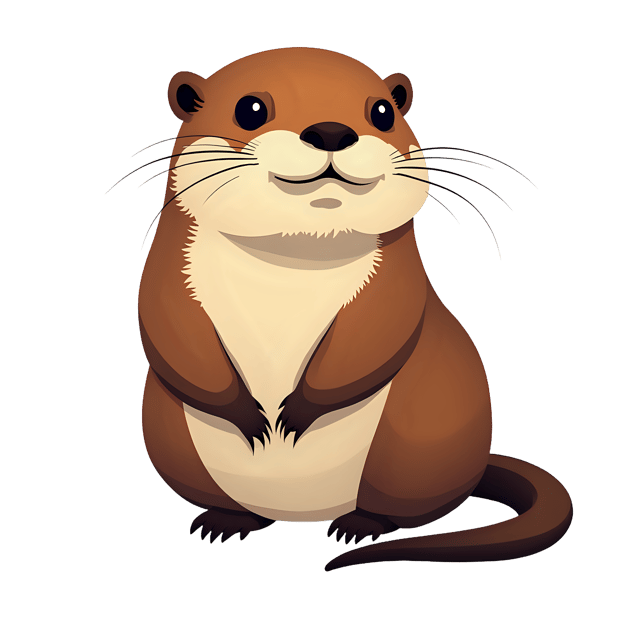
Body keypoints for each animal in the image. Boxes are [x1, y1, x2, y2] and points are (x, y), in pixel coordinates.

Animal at [115, 47, 572, 571]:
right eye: (250, 109)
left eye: (383, 112)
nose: (331, 131)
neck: (289, 264)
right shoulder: (170, 271)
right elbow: (167, 333)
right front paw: (249, 417)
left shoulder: (394, 279)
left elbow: (375, 338)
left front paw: (295, 414)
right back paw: (227, 520)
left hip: (412, 445)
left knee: (399, 508)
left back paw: (359, 524)